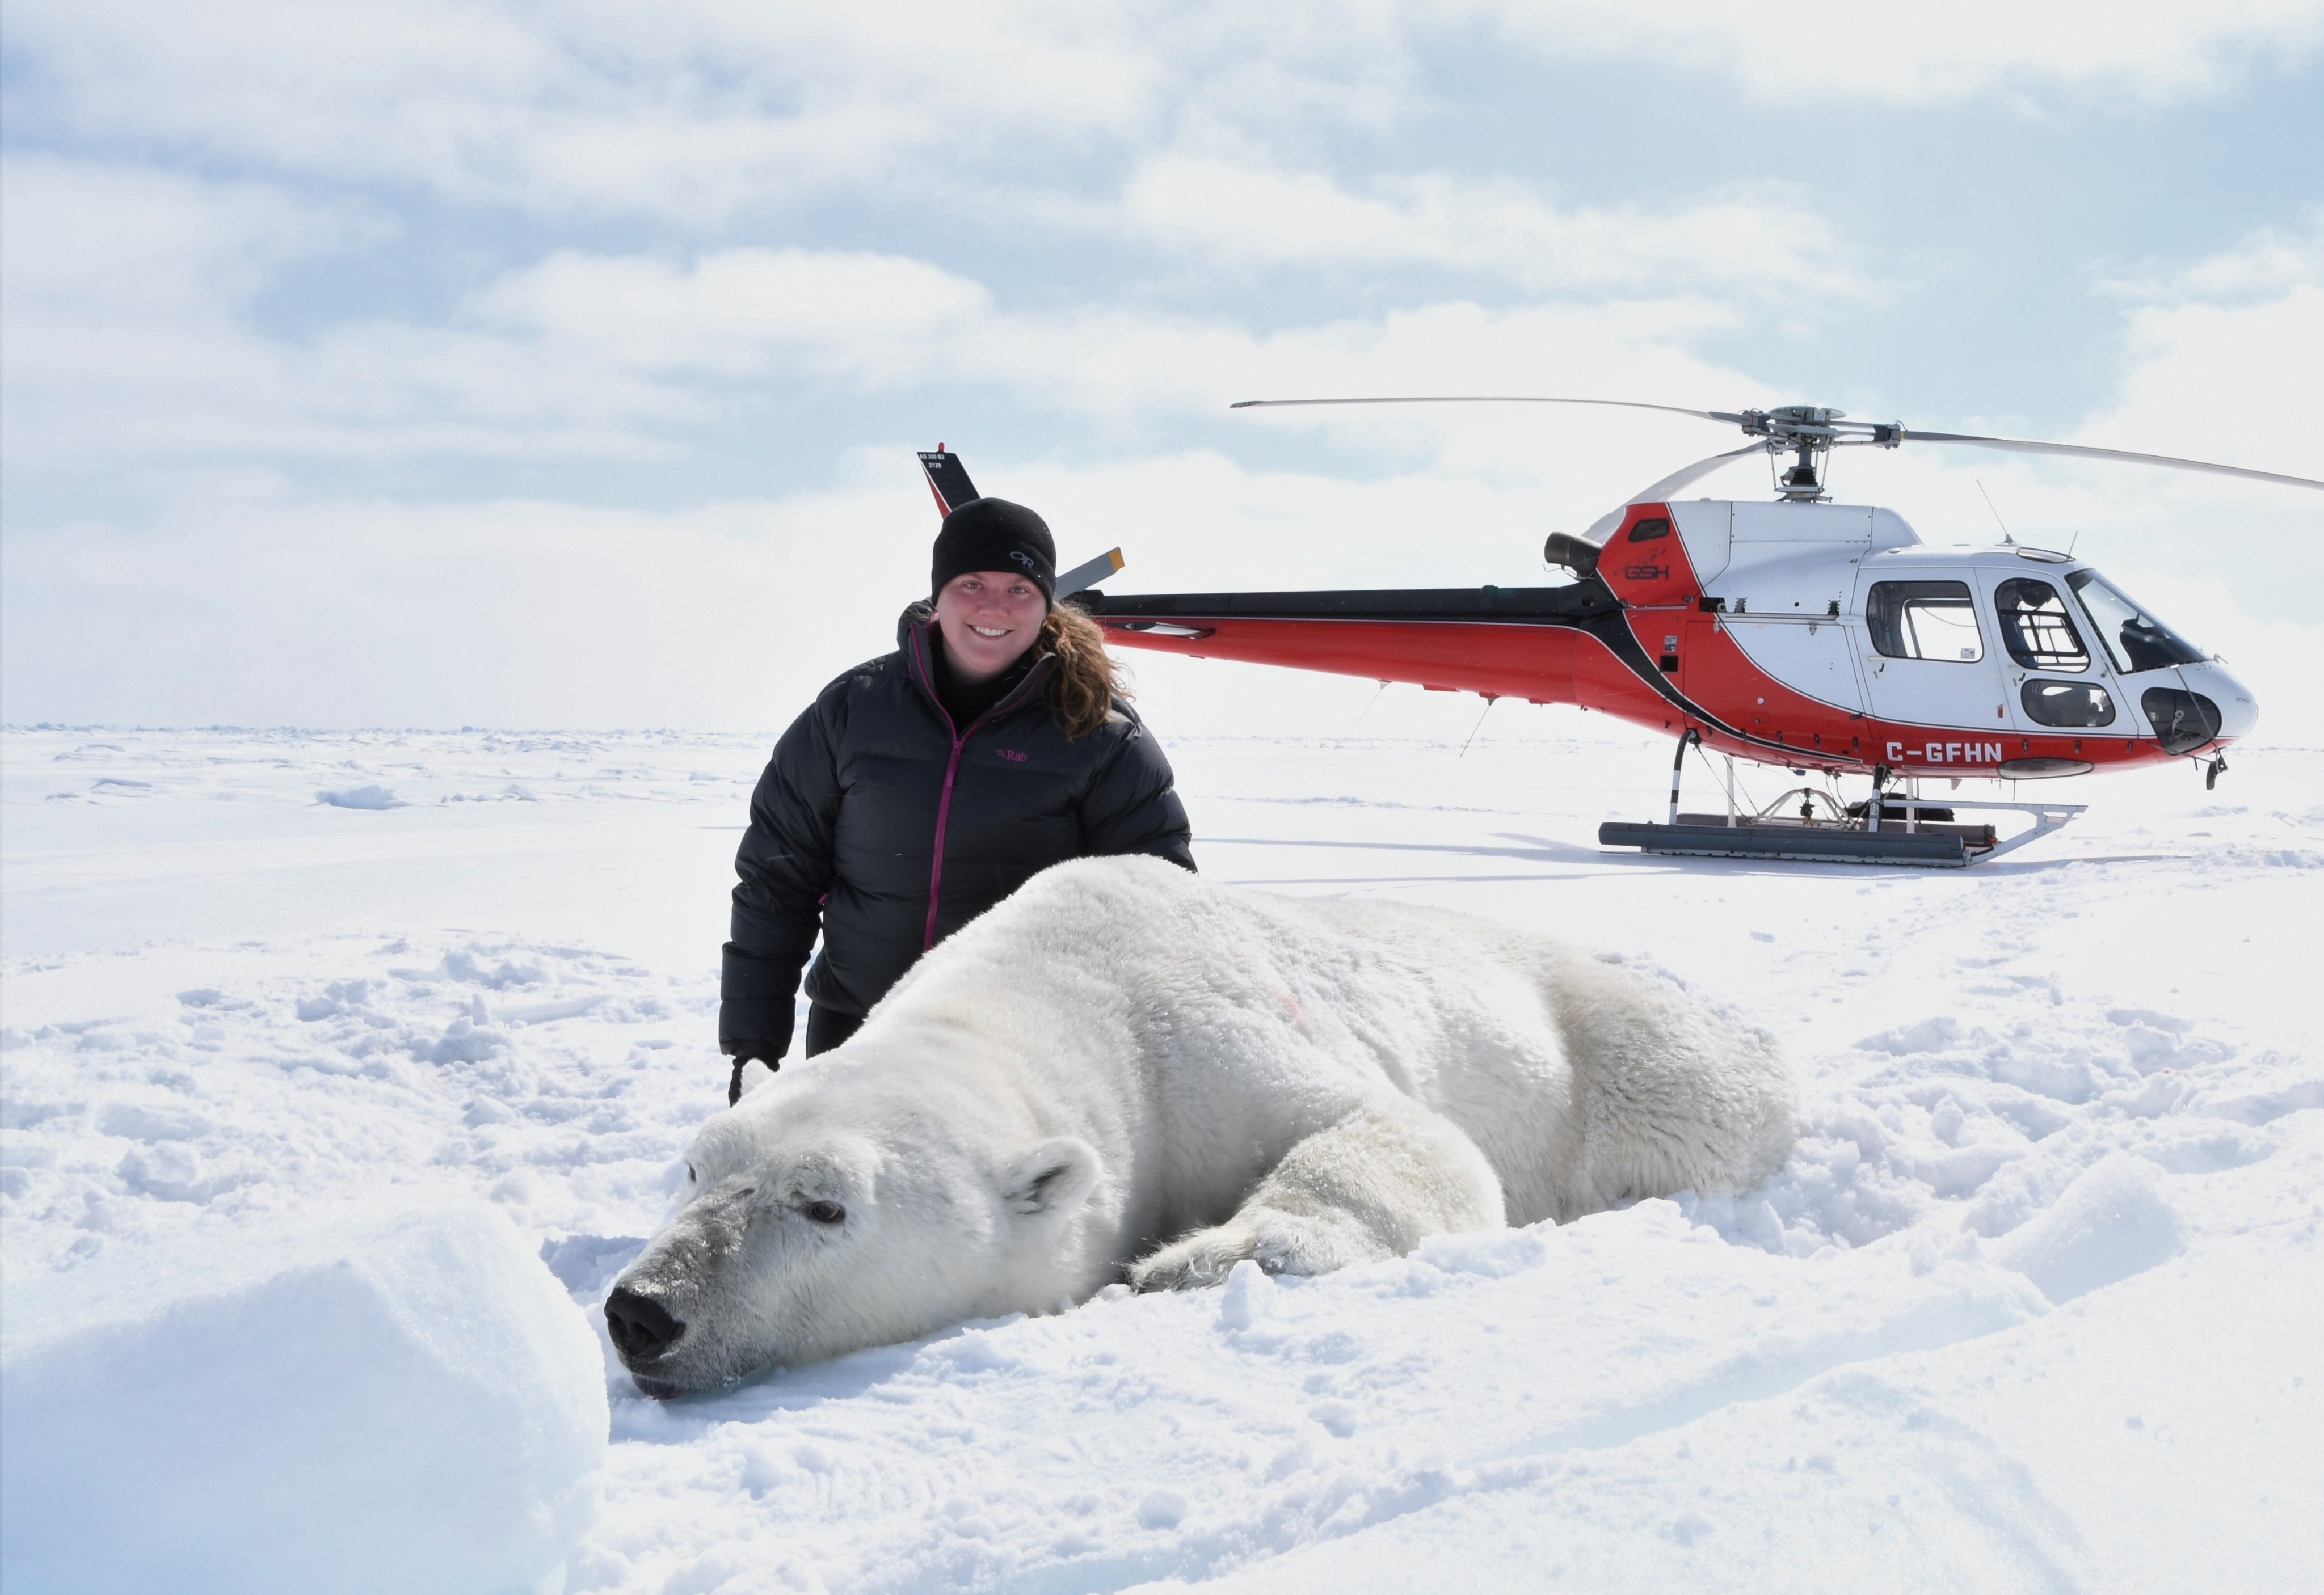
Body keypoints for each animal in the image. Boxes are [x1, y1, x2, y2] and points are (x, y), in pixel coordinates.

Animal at [604, 854, 1794, 1393]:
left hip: (1624, 1055)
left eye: (825, 1204)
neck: (1070, 983)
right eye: (695, 1168)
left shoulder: (1204, 1044)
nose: (642, 1310)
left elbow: (1400, 1132)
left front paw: (1200, 1257)